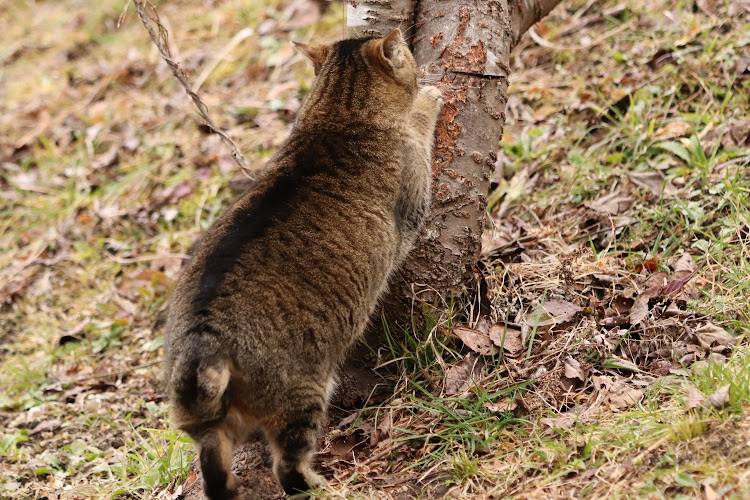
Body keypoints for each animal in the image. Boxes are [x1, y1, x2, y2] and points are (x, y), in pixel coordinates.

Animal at [164, 29, 444, 498]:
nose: (407, 43)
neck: (335, 113)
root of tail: (204, 341)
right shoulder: (414, 198)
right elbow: (420, 120)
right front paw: (430, 96)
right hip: (301, 396)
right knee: (289, 471)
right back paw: (325, 485)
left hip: (207, 425)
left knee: (214, 471)